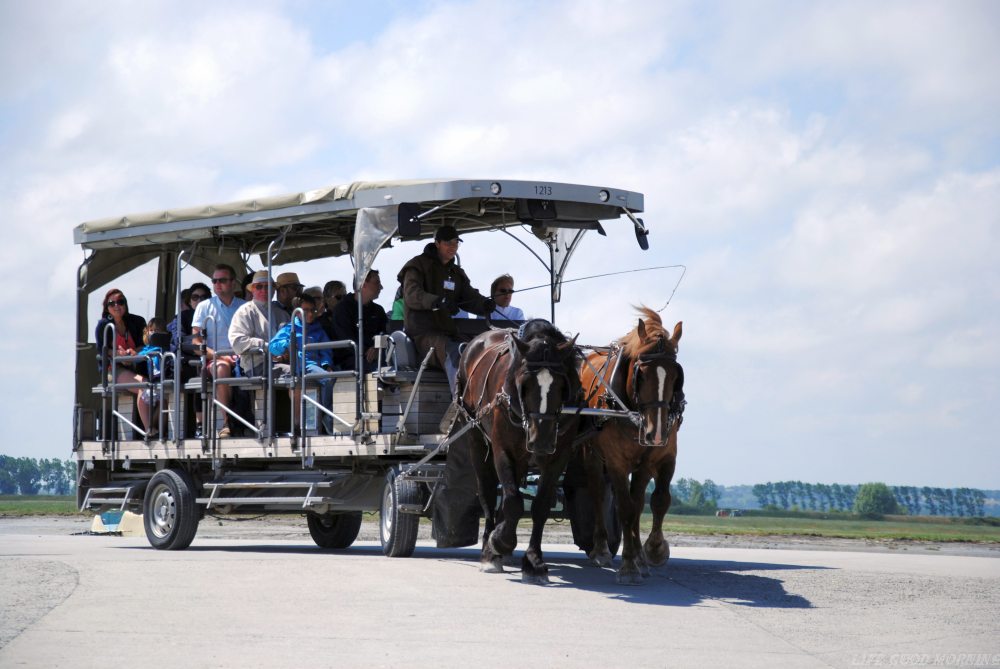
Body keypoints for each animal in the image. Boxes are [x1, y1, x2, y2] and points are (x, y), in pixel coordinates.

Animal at [452, 320, 584, 580]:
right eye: (525, 383)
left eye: (562, 384)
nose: (541, 440)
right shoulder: (503, 450)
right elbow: (512, 501)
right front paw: (499, 542)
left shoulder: (558, 457)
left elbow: (540, 506)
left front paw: (533, 561)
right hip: (475, 437)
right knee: (488, 494)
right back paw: (489, 550)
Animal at [584, 308, 684, 584]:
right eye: (642, 374)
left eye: (676, 376)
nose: (656, 433)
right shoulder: (616, 461)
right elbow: (625, 508)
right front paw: (628, 565)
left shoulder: (660, 457)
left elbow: (656, 501)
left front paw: (652, 551)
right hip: (592, 455)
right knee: (598, 493)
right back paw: (600, 550)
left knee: (638, 502)